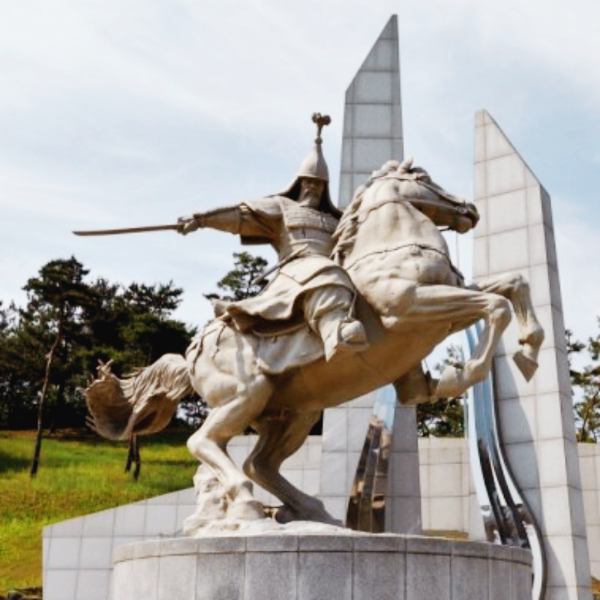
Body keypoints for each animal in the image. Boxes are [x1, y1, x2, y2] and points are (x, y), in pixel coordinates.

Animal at [88, 158, 544, 528]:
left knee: (259, 463)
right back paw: (249, 506)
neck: (391, 247)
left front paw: (527, 350)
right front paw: (470, 370)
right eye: (423, 177)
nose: (470, 210)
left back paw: (309, 509)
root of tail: (190, 354)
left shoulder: (446, 303)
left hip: (294, 414)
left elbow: (513, 285)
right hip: (246, 395)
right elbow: (496, 306)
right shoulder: (410, 307)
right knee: (204, 443)